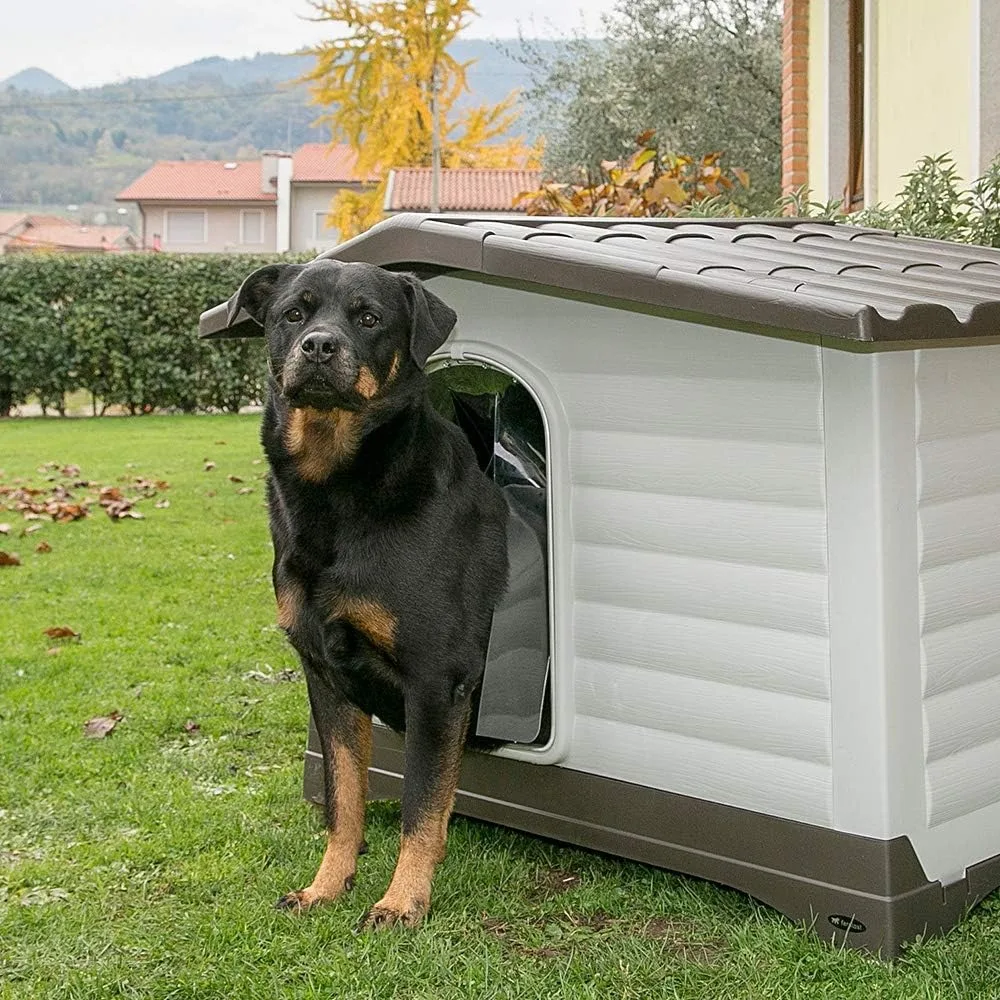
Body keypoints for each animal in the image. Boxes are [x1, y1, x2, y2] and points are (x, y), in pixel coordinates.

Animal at [226, 258, 508, 928]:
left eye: (370, 318)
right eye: (293, 314)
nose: (319, 346)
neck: (336, 489)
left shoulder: (436, 682)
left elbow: (420, 809)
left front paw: (402, 903)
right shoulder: (326, 676)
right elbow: (344, 799)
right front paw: (326, 886)